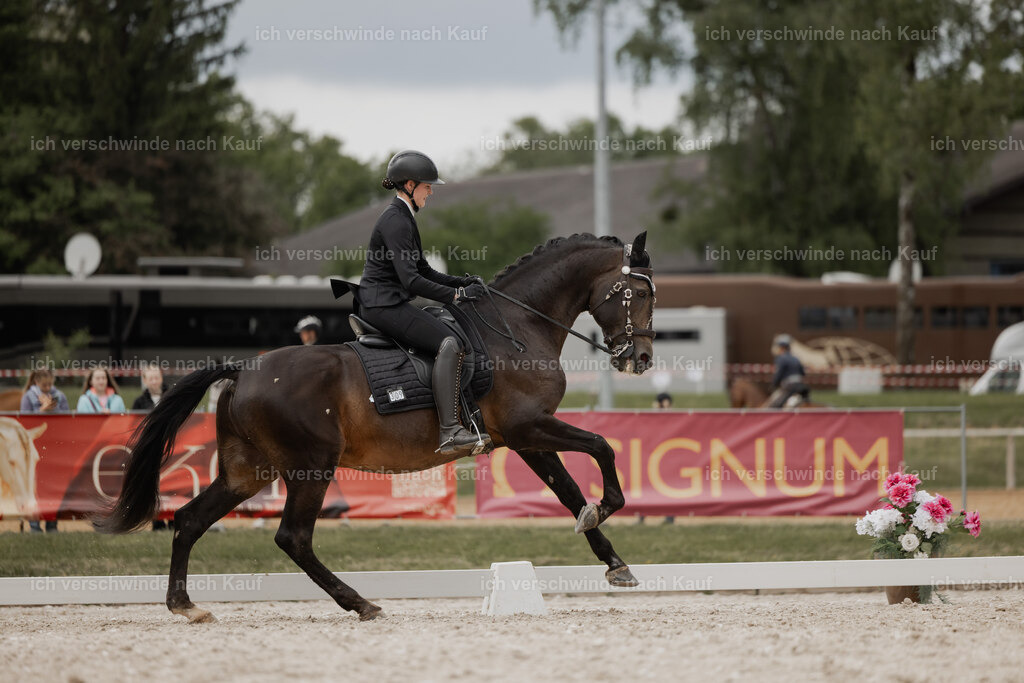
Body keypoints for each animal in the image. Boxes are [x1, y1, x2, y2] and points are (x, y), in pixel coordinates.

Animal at [95, 232, 657, 623]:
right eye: (638, 293)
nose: (643, 359)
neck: (515, 329)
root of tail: (244, 368)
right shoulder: (529, 428)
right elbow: (602, 447)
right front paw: (606, 508)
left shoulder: (525, 439)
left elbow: (567, 490)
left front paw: (613, 561)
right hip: (309, 467)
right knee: (293, 537)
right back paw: (361, 604)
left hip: (247, 471)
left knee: (191, 520)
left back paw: (185, 605)